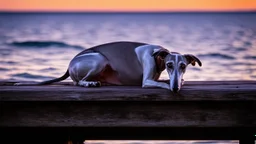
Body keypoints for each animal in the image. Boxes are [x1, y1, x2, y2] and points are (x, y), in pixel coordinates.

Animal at [14, 41, 202, 93]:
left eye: (183, 66)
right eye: (169, 64)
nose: (175, 89)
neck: (158, 56)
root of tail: (70, 63)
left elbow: (173, 79)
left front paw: (179, 82)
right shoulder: (147, 81)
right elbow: (161, 83)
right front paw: (171, 84)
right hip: (99, 59)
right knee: (77, 82)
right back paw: (89, 83)